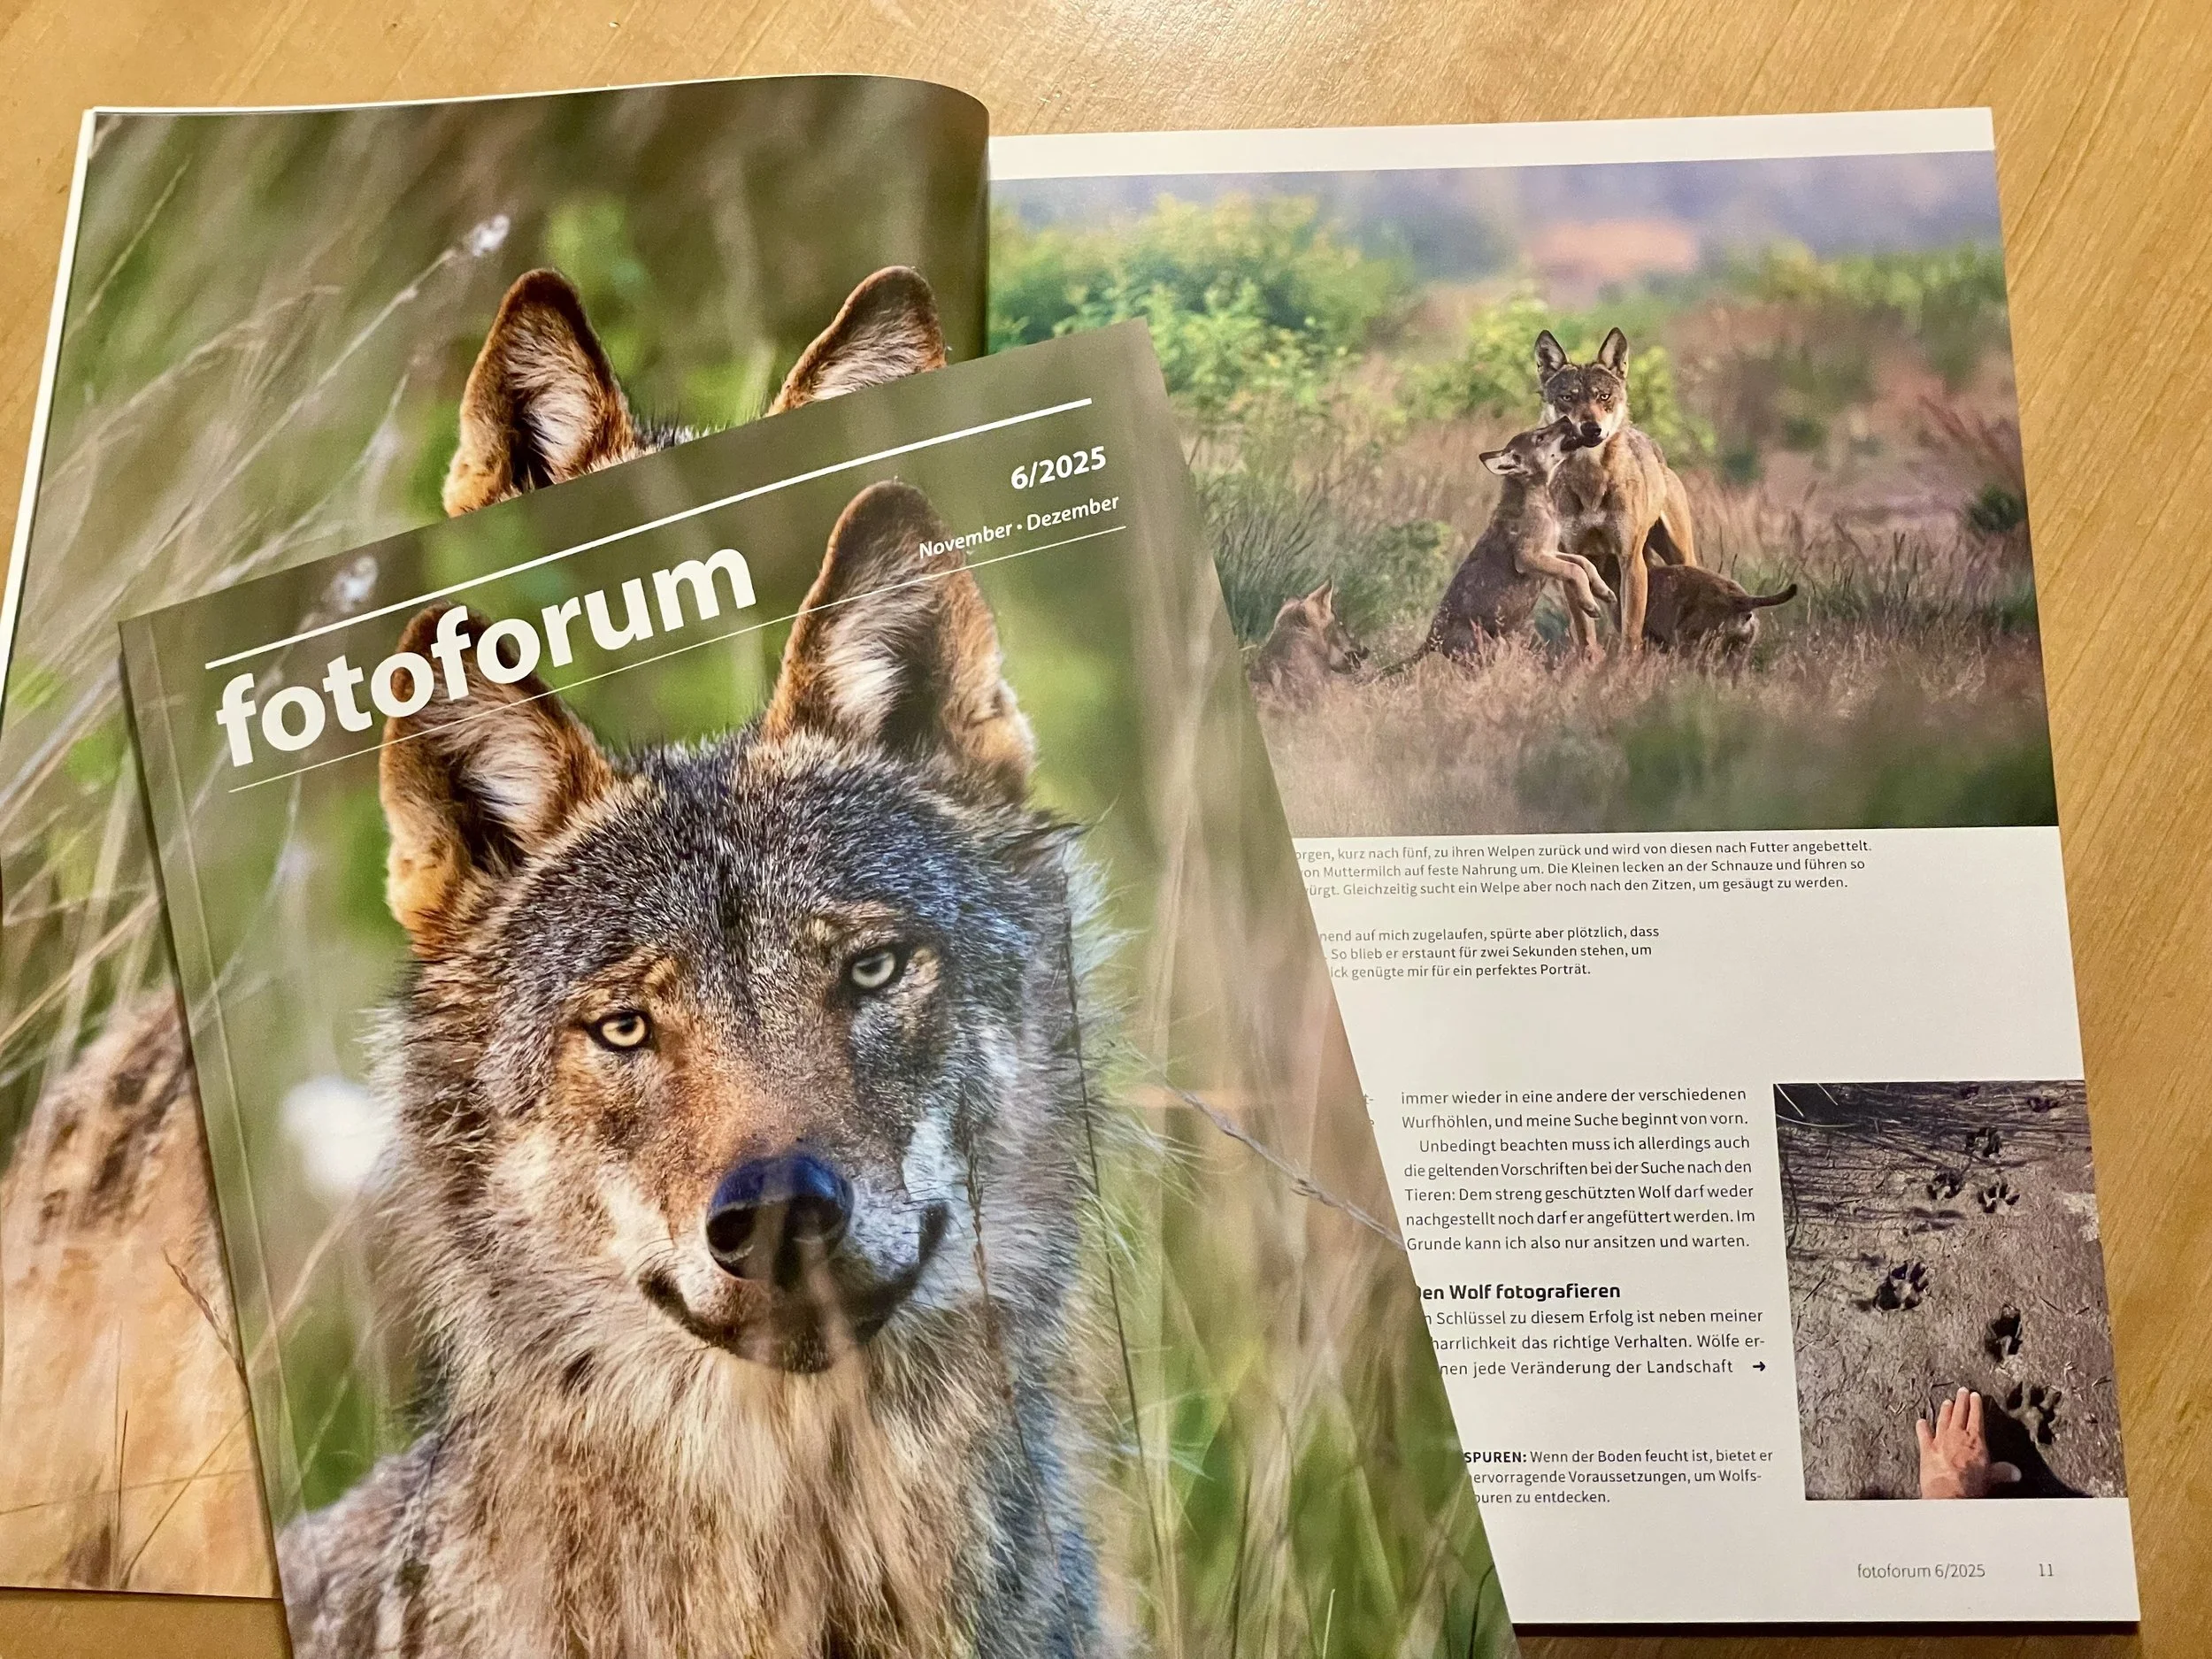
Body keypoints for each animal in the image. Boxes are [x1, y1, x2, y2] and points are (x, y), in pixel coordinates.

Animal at [1536, 327, 1699, 656]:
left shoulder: (1630, 560)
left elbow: (1631, 635)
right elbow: (1585, 633)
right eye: (1567, 397)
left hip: (1679, 555)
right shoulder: (1573, 559)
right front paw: (1589, 664)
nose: (1591, 428)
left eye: (1604, 396)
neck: (1591, 481)